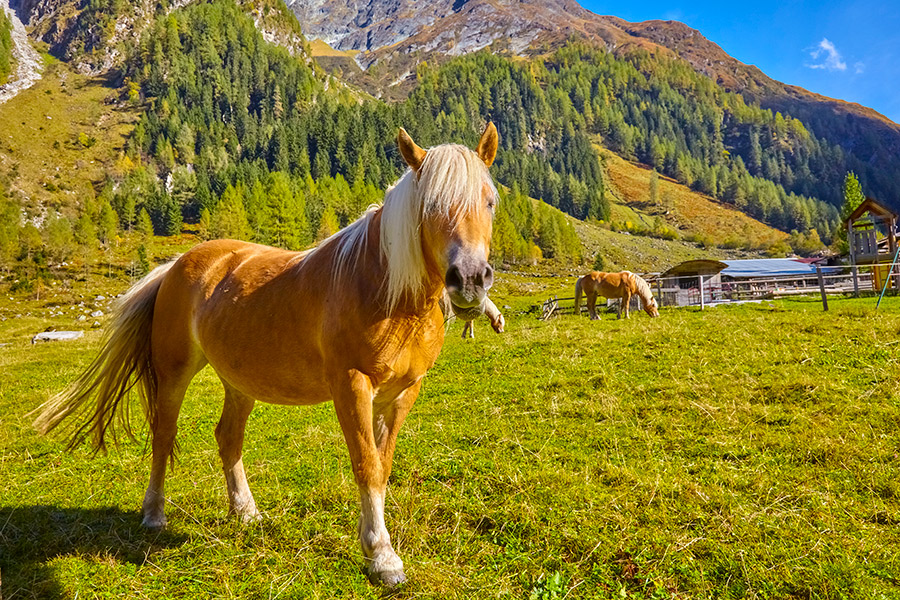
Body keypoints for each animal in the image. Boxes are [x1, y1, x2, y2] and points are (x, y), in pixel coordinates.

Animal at [32, 123, 500, 587]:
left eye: (490, 201)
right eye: (431, 207)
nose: (470, 279)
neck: (387, 290)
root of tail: (177, 264)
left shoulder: (404, 392)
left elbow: (382, 468)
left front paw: (380, 549)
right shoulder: (352, 386)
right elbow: (366, 465)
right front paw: (381, 556)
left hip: (239, 383)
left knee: (227, 438)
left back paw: (245, 512)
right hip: (174, 373)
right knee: (164, 436)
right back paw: (154, 514)